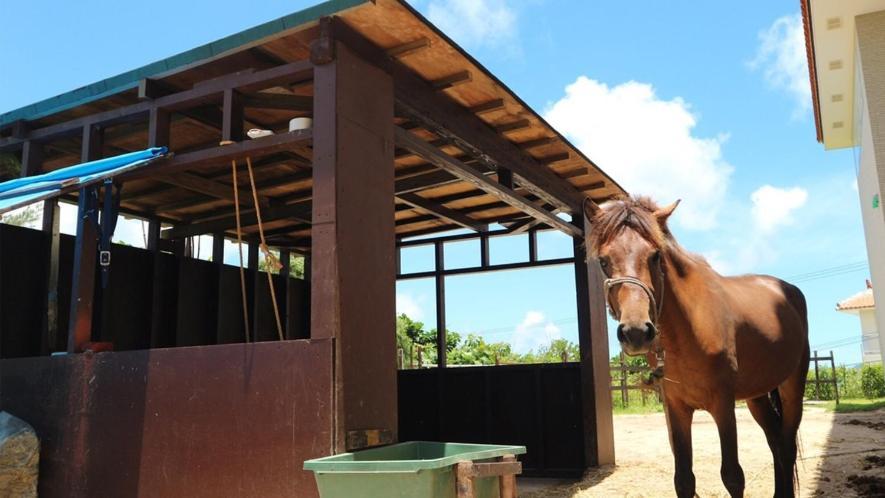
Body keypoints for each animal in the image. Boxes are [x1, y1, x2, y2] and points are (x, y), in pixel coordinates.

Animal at [584, 196, 812, 498]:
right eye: (604, 261)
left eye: (655, 255)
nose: (636, 332)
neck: (688, 331)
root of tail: (788, 290)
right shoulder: (676, 408)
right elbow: (683, 480)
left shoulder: (723, 404)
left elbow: (733, 476)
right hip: (757, 395)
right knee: (775, 440)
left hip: (792, 386)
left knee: (786, 444)